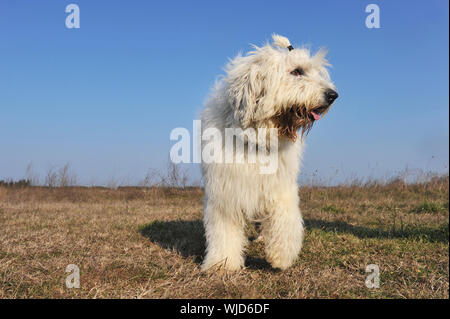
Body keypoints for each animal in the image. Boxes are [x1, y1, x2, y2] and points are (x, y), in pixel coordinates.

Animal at [200, 35, 338, 272]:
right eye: (297, 71)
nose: (333, 95)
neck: (257, 138)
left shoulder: (280, 186)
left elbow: (284, 217)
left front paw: (281, 256)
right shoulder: (226, 191)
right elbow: (224, 228)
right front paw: (222, 264)